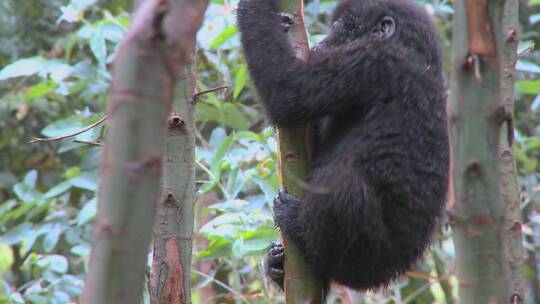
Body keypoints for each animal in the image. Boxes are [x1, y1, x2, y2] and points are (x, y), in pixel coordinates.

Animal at [238, 0, 450, 290]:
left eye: (339, 28)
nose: (323, 43)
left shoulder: (371, 62)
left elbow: (288, 93)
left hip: (369, 261)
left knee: (340, 182)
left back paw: (301, 231)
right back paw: (277, 265)